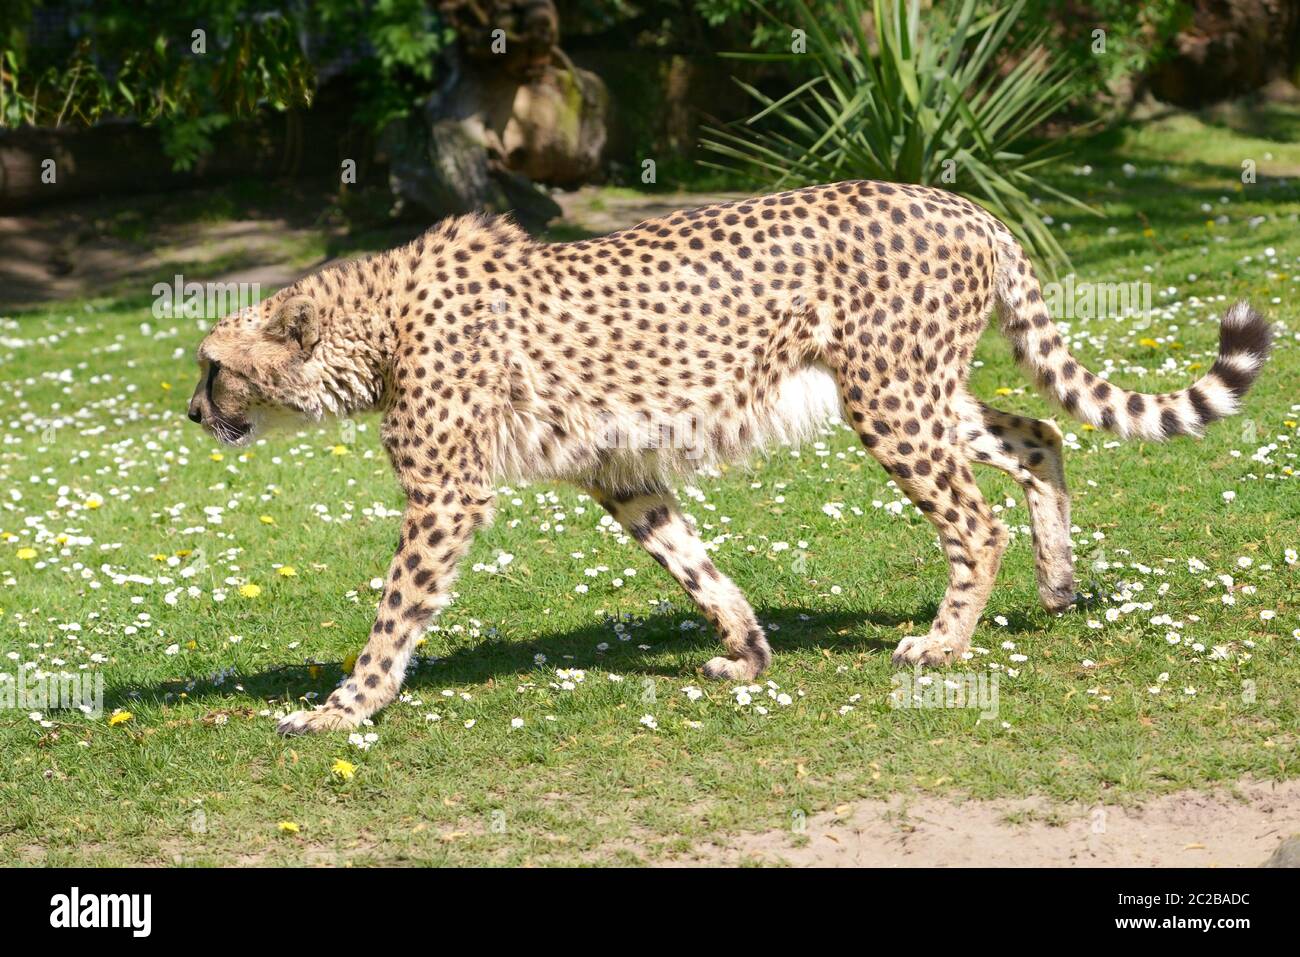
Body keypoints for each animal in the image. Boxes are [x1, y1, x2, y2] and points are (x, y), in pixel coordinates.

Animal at [185, 179, 1268, 733]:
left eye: (211, 365)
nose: (192, 414)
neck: (370, 328)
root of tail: (964, 203)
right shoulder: (619, 473)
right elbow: (692, 566)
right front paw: (746, 651)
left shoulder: (446, 495)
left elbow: (394, 614)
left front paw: (343, 707)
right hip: (913, 392)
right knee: (1040, 436)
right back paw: (1057, 584)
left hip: (890, 400)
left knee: (975, 518)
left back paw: (944, 642)